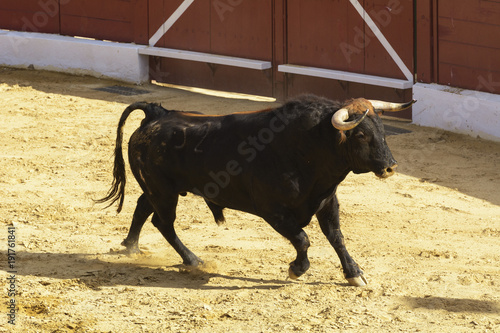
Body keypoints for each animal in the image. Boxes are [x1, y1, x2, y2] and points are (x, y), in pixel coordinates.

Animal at [98, 94, 414, 286]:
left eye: (382, 130)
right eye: (360, 134)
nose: (390, 167)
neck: (308, 147)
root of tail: (156, 114)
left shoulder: (326, 201)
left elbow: (336, 237)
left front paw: (355, 274)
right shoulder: (272, 210)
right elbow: (303, 239)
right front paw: (296, 269)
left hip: (159, 188)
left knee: (143, 207)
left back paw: (131, 246)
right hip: (163, 191)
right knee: (162, 222)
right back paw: (193, 260)